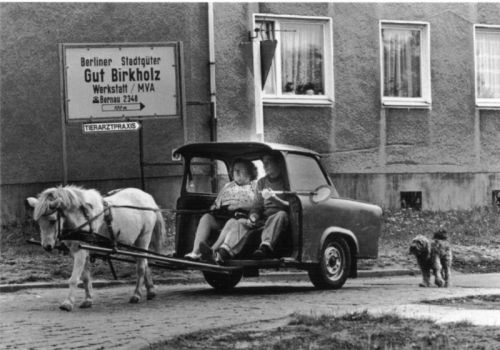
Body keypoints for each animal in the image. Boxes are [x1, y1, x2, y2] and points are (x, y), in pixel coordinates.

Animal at [26, 186, 166, 312]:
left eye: (53, 220)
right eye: (38, 221)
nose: (47, 246)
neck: (83, 216)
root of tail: (149, 198)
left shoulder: (81, 251)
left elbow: (74, 278)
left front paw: (68, 303)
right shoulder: (76, 250)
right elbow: (85, 277)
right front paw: (88, 300)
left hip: (143, 238)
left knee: (141, 266)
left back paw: (136, 294)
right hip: (132, 243)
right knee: (144, 262)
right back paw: (150, 291)